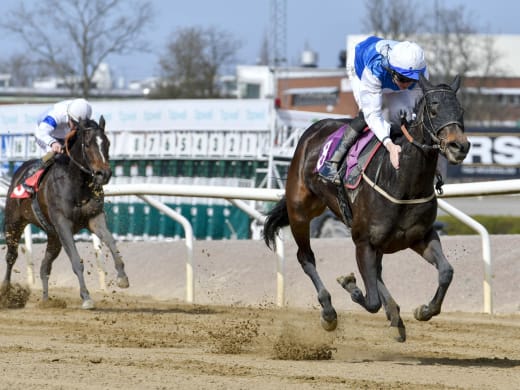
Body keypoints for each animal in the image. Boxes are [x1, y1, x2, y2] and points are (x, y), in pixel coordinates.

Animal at [1, 115, 129, 308]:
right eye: (87, 144)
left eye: (107, 143)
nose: (104, 174)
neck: (76, 184)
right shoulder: (63, 223)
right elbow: (76, 260)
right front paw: (86, 297)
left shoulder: (94, 218)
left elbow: (111, 242)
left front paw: (122, 277)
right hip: (14, 223)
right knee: (11, 256)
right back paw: (7, 294)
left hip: (54, 237)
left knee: (44, 267)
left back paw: (46, 300)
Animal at [264, 74, 472, 342]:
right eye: (434, 109)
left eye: (461, 110)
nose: (460, 146)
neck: (401, 181)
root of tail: (314, 129)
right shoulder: (363, 242)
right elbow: (370, 300)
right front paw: (349, 284)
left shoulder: (420, 236)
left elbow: (446, 271)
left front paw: (424, 310)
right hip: (300, 211)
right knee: (306, 257)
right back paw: (329, 311)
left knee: (378, 272)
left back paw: (394, 315)